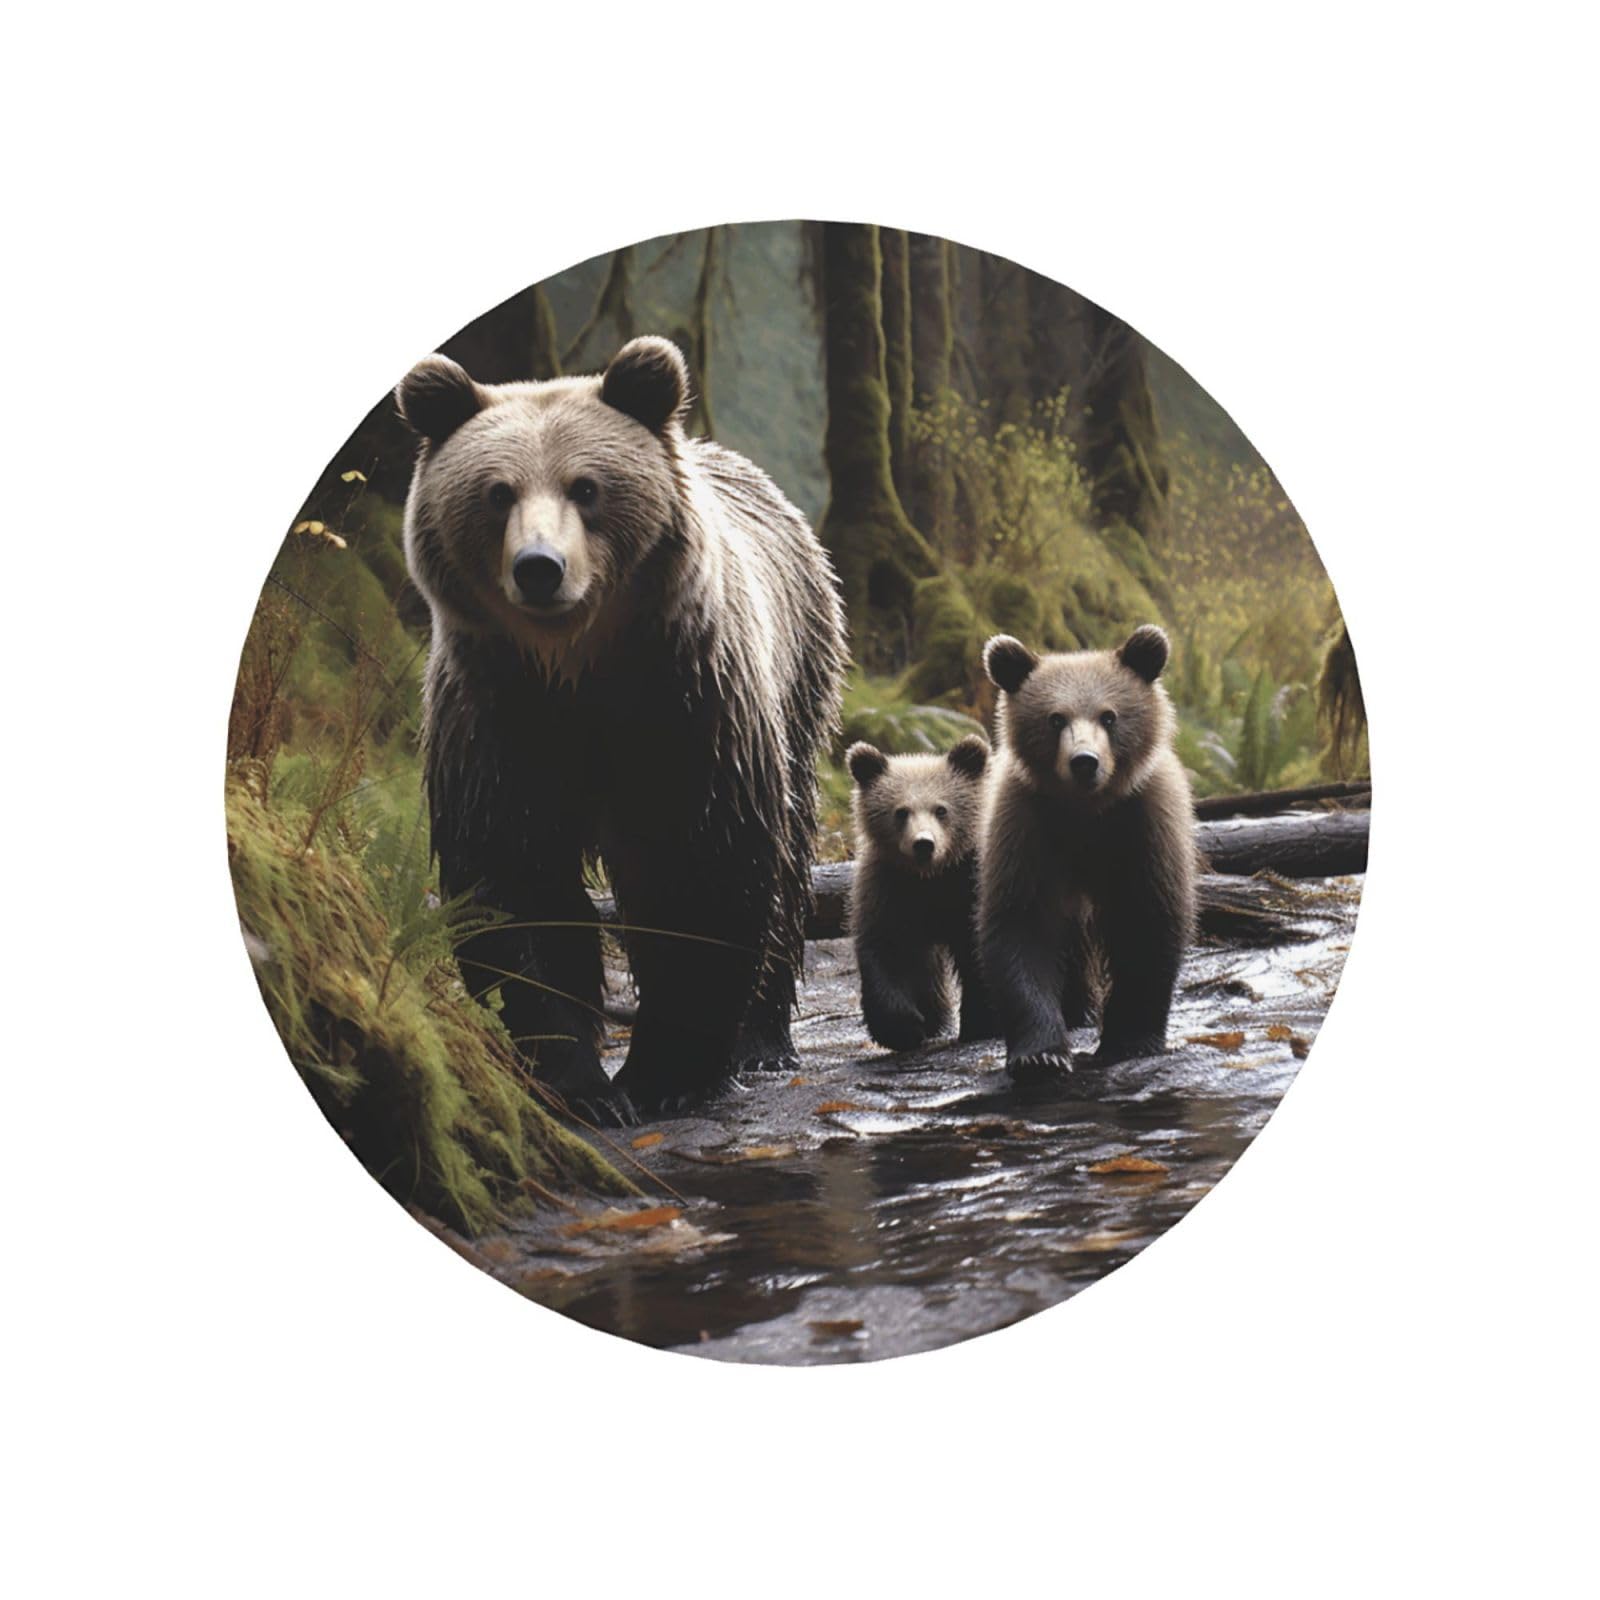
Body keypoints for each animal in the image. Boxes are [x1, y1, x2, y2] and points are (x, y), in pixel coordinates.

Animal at [396, 335, 846, 1121]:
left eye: (586, 487)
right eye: (497, 492)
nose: (539, 568)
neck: (576, 668)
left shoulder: (686, 703)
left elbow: (702, 865)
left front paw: (666, 1076)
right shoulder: (497, 715)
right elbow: (514, 878)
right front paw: (579, 1081)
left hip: (797, 675)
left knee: (788, 861)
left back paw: (762, 1040)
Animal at [845, 735, 997, 1051]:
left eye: (941, 809)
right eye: (901, 811)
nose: (923, 844)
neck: (931, 877)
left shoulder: (967, 885)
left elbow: (977, 950)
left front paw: (982, 1022)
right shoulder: (891, 888)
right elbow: (890, 951)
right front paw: (904, 1027)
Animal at [977, 625, 1197, 1077]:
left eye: (1109, 716)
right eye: (1055, 718)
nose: (1084, 762)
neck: (1086, 812)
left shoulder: (1143, 823)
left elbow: (1147, 921)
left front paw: (1130, 1039)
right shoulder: (1026, 828)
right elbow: (1021, 927)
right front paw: (1041, 1054)